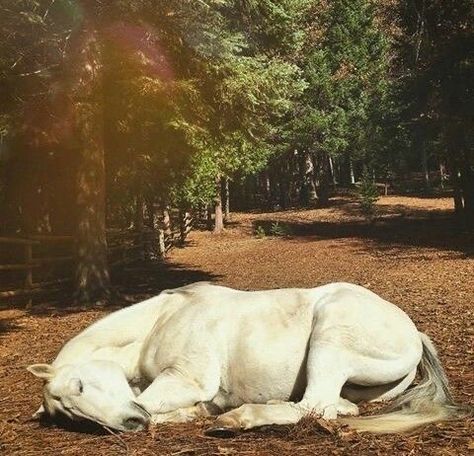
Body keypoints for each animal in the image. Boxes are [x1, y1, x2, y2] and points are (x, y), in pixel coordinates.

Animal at [27, 282, 468, 434]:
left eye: (80, 384)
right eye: (70, 416)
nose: (127, 425)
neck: (159, 322)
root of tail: (413, 332)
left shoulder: (187, 378)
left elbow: (153, 403)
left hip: (331, 335)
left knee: (314, 406)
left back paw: (238, 419)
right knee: (332, 406)